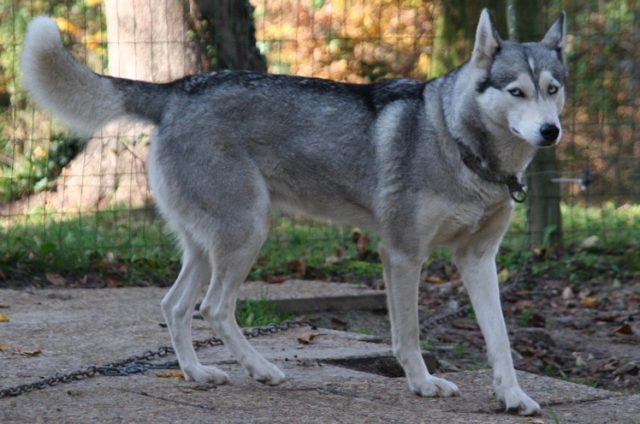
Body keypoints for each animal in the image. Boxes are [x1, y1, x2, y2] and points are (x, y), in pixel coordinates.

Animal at [22, 8, 568, 416]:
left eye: (552, 89)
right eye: (516, 91)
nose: (551, 132)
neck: (462, 147)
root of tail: (177, 87)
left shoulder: (478, 261)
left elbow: (500, 340)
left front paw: (514, 396)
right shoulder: (402, 255)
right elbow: (408, 335)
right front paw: (423, 384)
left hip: (209, 246)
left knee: (174, 306)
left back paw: (198, 373)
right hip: (246, 234)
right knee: (212, 308)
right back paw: (261, 370)